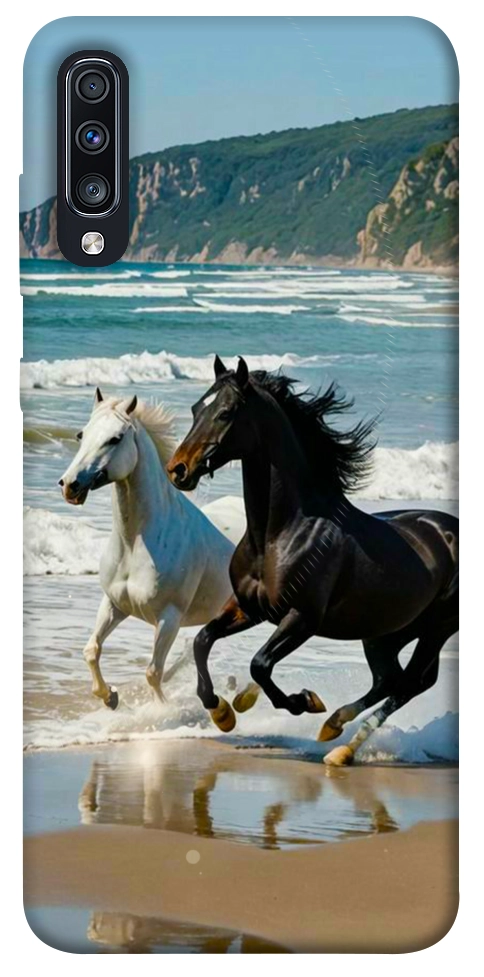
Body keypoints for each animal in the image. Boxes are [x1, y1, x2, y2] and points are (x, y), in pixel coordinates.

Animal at [59, 388, 234, 709]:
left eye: (115, 438)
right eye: (81, 434)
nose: (69, 485)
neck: (135, 544)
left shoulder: (169, 618)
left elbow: (153, 672)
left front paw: (161, 711)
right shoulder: (114, 604)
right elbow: (91, 650)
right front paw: (110, 697)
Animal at [166, 356, 458, 765]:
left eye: (225, 413)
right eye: (196, 409)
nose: (178, 469)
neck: (280, 534)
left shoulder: (302, 618)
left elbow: (260, 664)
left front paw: (303, 701)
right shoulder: (248, 608)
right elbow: (202, 640)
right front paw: (223, 711)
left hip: (436, 629)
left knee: (410, 683)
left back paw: (341, 746)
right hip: (386, 632)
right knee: (390, 679)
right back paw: (334, 729)